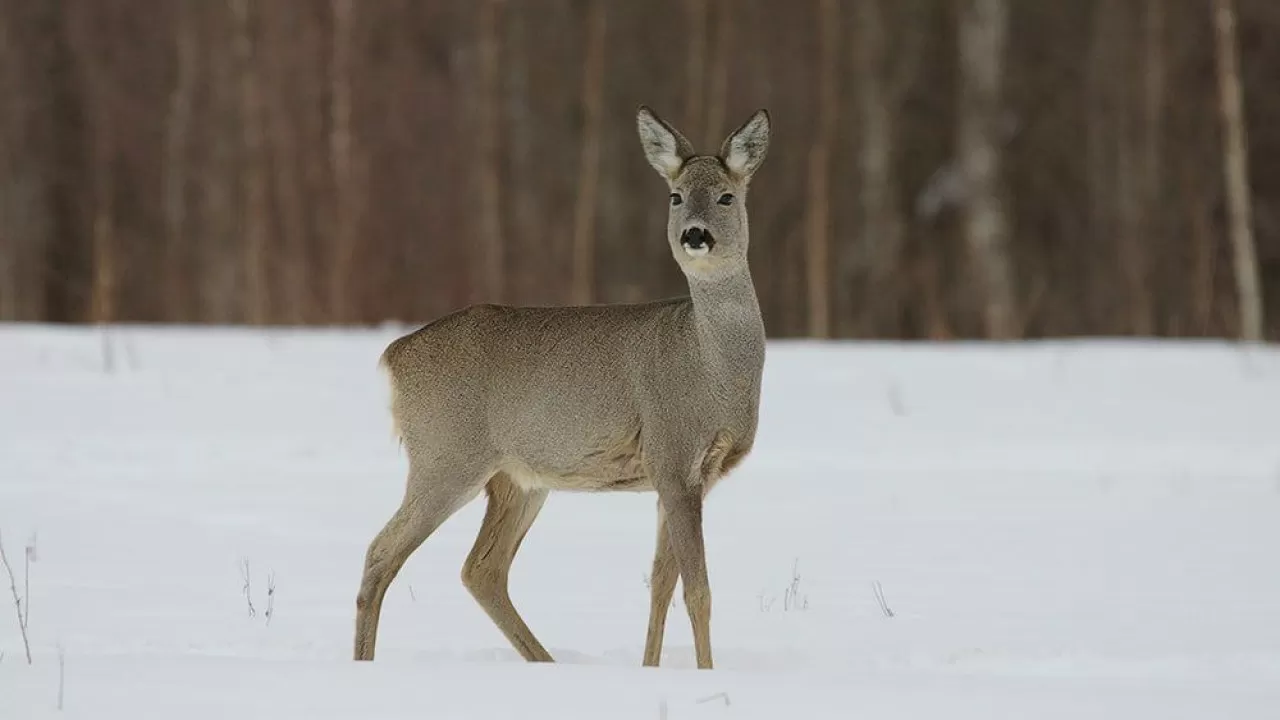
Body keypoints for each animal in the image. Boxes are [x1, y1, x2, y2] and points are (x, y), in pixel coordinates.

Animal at [353, 105, 768, 666]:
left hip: (516, 478)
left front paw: (651, 668)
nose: (695, 235)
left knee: (481, 569)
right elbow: (697, 591)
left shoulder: (677, 475)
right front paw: (706, 672)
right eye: (676, 196)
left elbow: (660, 585)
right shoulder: (673, 451)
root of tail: (394, 356)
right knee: (382, 552)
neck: (713, 367)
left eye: (726, 196)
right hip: (445, 455)